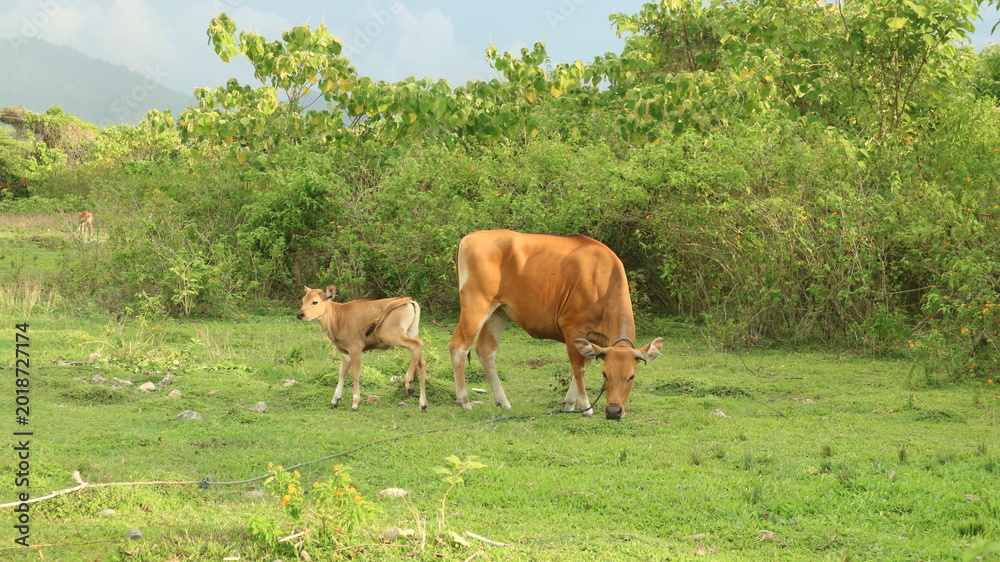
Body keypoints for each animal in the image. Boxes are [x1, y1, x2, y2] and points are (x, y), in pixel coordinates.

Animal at [297, 286, 427, 411]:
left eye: (315, 302)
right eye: (303, 300)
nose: (300, 314)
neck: (338, 316)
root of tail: (407, 300)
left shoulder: (356, 348)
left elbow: (355, 373)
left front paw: (355, 403)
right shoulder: (346, 352)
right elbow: (342, 372)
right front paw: (335, 400)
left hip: (392, 336)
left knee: (417, 345)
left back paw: (408, 382)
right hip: (411, 333)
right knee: (420, 364)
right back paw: (422, 404)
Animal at [448, 230, 663, 420]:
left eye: (631, 377)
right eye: (605, 374)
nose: (613, 411)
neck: (601, 282)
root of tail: (468, 238)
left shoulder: (595, 340)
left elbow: (584, 365)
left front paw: (570, 404)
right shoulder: (572, 329)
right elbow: (578, 369)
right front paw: (585, 408)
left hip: (498, 312)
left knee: (486, 350)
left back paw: (504, 402)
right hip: (476, 304)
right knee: (458, 346)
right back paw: (464, 401)